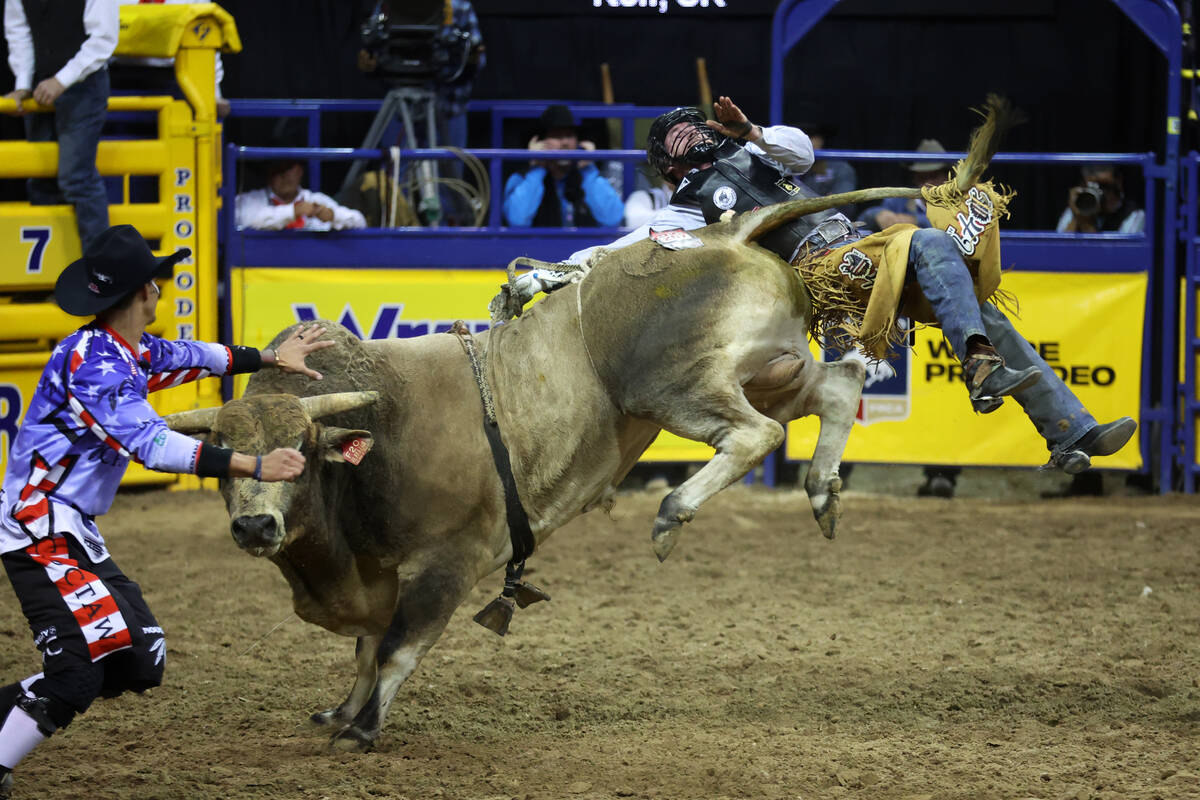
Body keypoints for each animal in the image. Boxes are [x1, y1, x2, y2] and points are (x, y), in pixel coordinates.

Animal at [164, 175, 979, 753]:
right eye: (222, 465)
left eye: (301, 454)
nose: (256, 529)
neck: (370, 446)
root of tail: (723, 231)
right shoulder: (375, 567)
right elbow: (366, 648)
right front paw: (342, 708)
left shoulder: (446, 561)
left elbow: (395, 646)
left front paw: (362, 730)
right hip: (769, 368)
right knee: (836, 388)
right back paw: (821, 492)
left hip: (673, 387)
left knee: (756, 436)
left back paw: (674, 512)